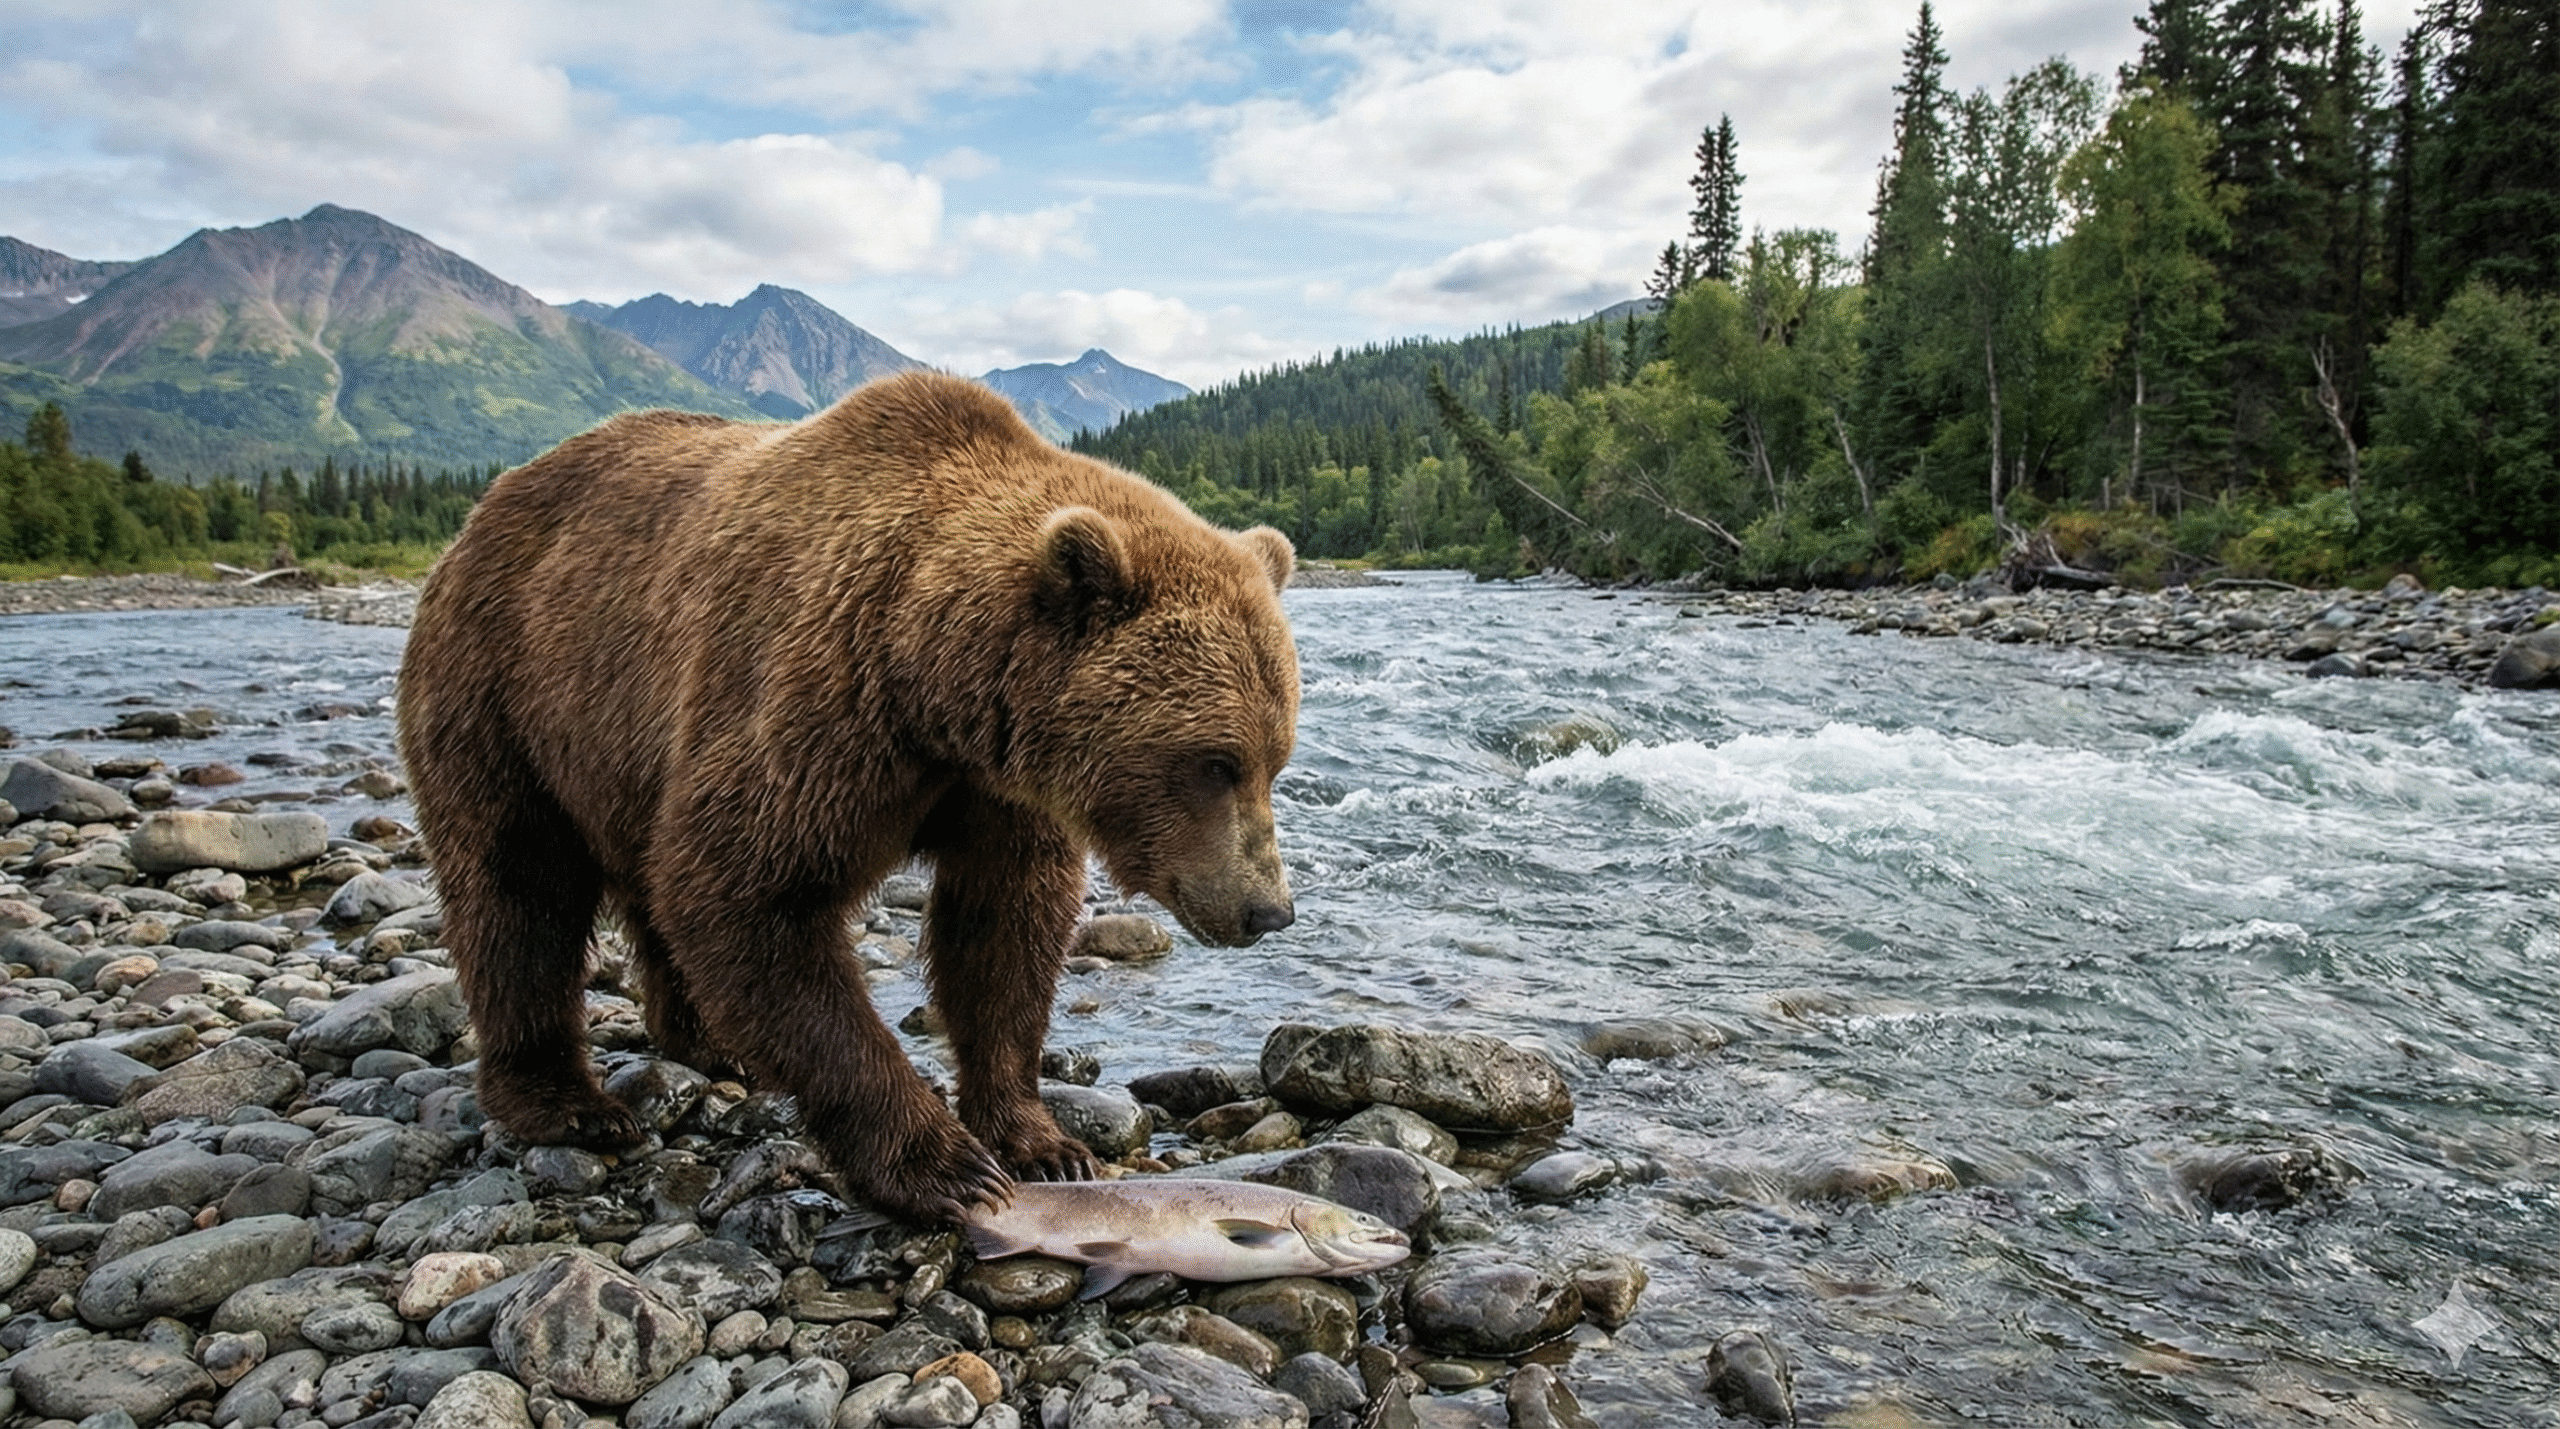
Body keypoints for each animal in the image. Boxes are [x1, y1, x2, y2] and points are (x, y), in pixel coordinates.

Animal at [396, 371, 1299, 1220]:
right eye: (1214, 760)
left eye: (1274, 759)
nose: (1268, 909)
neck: (932, 681)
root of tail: (487, 505)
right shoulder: (813, 704)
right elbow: (748, 896)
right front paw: (946, 1167)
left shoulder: (999, 786)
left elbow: (1005, 929)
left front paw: (1041, 1138)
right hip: (510, 688)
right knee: (519, 888)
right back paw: (566, 1103)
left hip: (621, 758)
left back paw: (709, 1042)